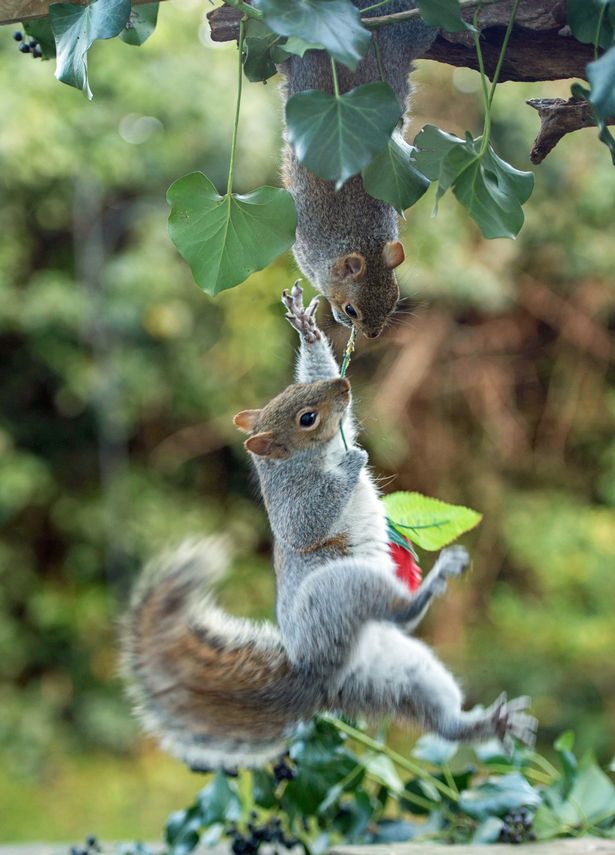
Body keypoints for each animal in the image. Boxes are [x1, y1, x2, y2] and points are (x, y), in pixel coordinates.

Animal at [121, 282, 540, 776]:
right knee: (399, 614)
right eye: (307, 418)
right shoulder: (292, 504)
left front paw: (307, 329)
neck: (307, 457)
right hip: (338, 592)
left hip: (405, 674)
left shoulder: (346, 428)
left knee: (443, 721)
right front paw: (350, 464)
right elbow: (308, 521)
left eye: (297, 387)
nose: (344, 385)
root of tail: (319, 682)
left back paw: (492, 723)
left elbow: (344, 416)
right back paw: (430, 587)